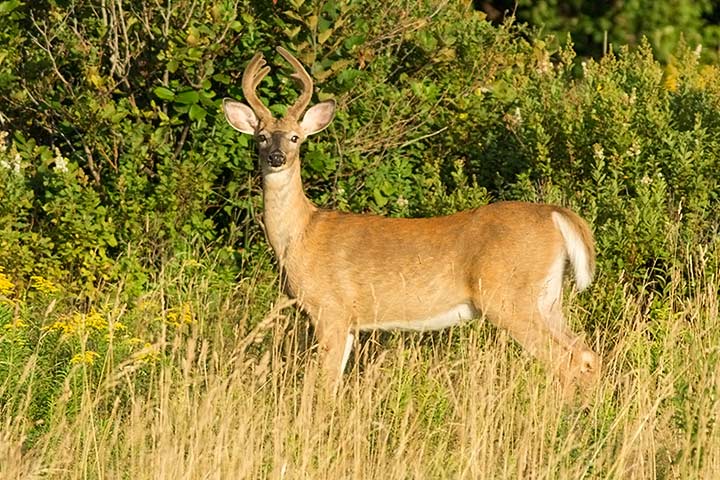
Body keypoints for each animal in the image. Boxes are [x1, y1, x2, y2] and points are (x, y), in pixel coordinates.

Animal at [223, 47, 600, 392]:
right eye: (260, 137)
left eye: (295, 137)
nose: (276, 157)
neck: (300, 235)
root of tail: (556, 214)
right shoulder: (349, 320)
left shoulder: (330, 308)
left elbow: (324, 384)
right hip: (547, 298)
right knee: (585, 353)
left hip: (508, 297)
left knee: (565, 360)